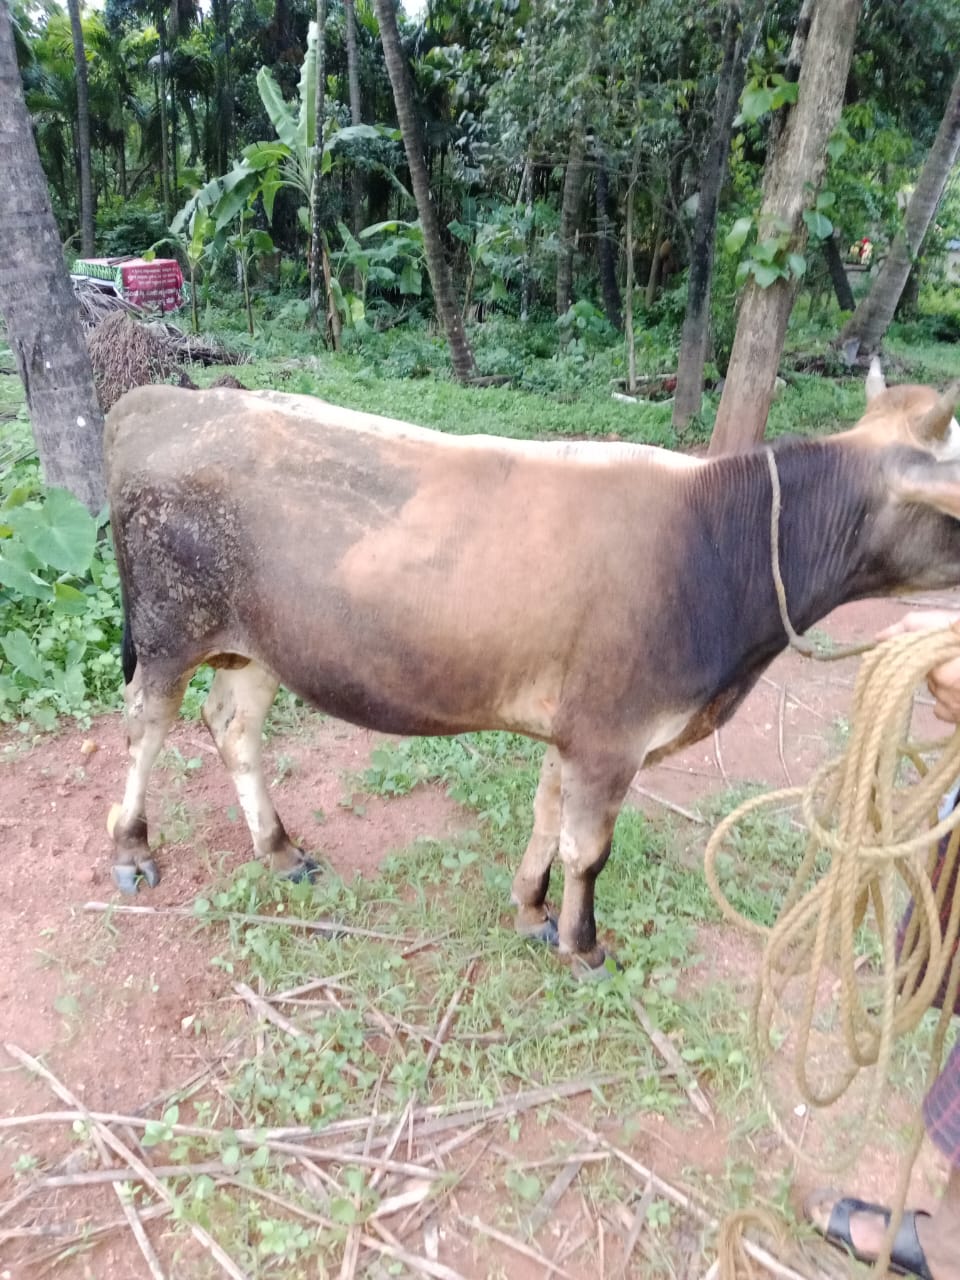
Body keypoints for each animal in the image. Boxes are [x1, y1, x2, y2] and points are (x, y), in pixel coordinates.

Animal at [105, 370, 960, 977]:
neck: (725, 545)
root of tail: (161, 401)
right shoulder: (613, 735)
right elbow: (590, 849)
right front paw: (584, 946)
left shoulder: (577, 731)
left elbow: (548, 818)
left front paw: (531, 908)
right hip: (168, 632)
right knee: (146, 726)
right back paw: (132, 848)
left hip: (253, 646)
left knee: (233, 728)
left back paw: (280, 850)